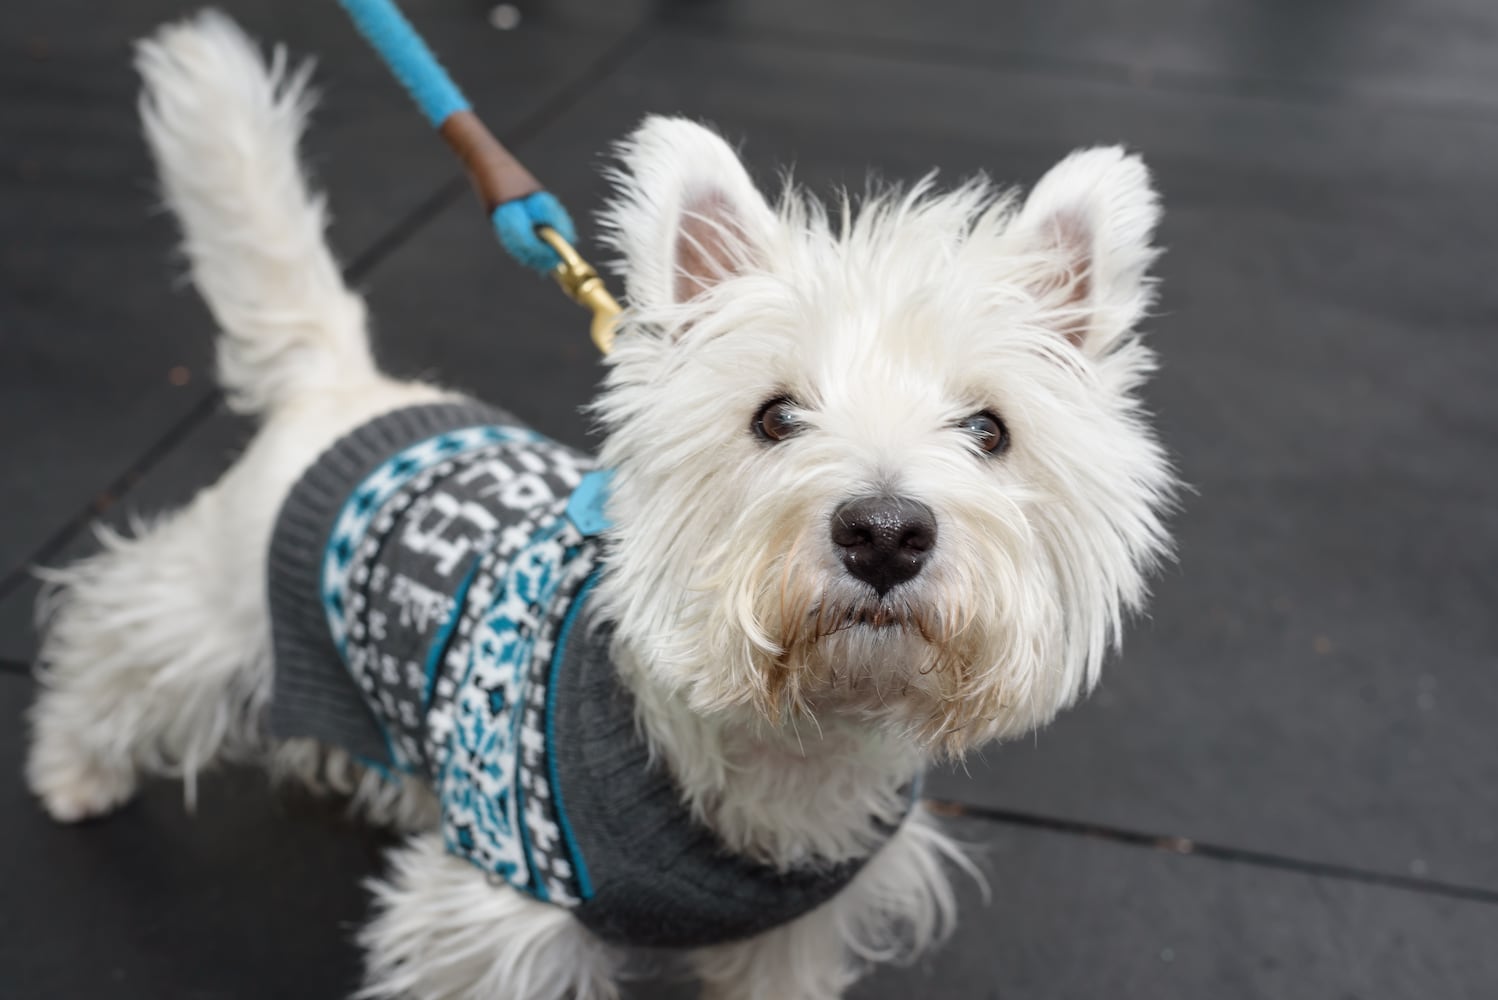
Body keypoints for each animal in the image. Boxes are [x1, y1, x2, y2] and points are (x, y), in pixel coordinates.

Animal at [20, 9, 1168, 999]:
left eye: (988, 430)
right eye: (773, 416)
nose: (884, 533)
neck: (794, 743)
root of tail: (345, 386)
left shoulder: (795, 933)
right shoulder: (499, 921)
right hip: (212, 607)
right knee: (113, 634)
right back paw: (72, 771)